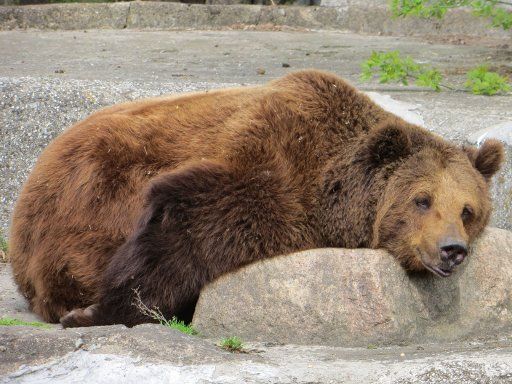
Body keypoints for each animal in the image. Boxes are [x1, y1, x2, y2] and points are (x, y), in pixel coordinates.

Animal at [8, 70, 504, 328]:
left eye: (467, 210)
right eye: (422, 200)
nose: (452, 249)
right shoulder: (272, 162)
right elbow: (188, 222)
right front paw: (99, 310)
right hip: (84, 198)